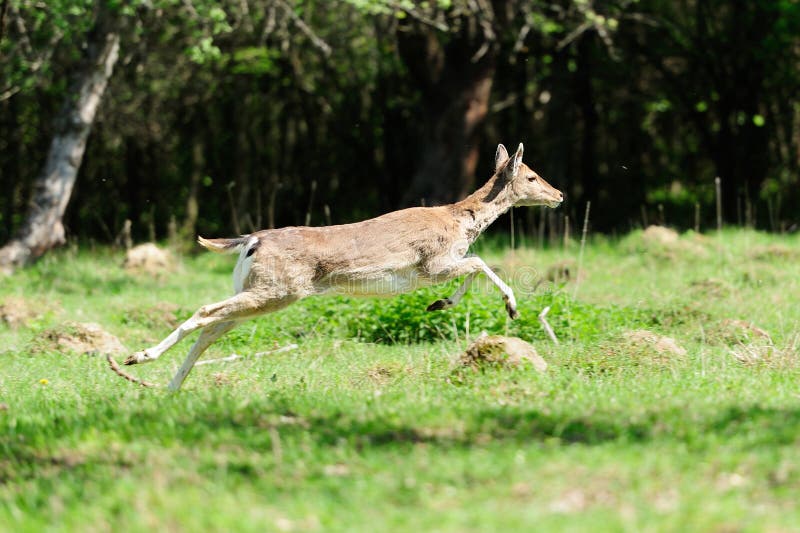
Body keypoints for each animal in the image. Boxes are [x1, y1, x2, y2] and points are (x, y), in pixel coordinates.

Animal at [118, 143, 563, 391]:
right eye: (532, 175)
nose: (559, 193)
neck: (461, 223)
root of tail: (249, 242)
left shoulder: (434, 269)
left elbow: (473, 268)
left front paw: (440, 304)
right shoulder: (432, 263)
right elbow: (480, 263)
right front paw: (511, 307)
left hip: (256, 291)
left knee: (212, 329)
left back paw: (168, 387)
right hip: (278, 289)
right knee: (205, 312)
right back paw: (139, 358)